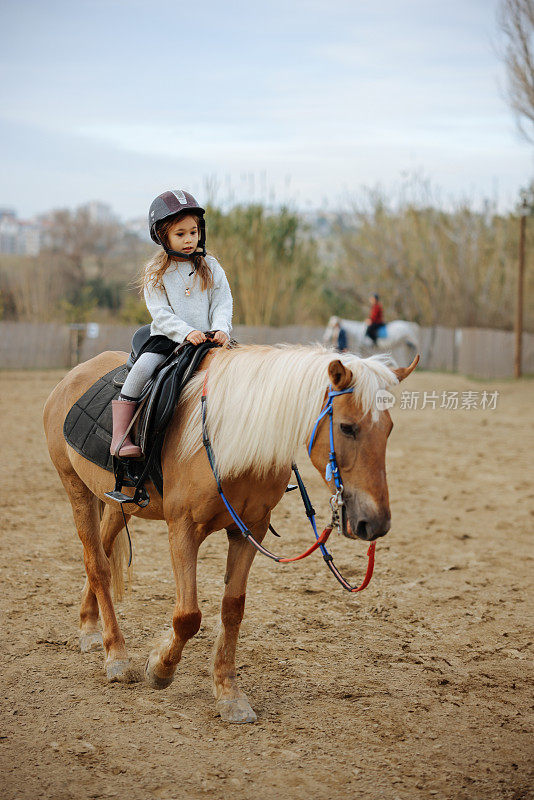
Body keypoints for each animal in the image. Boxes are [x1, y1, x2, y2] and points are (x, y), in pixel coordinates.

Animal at [43, 344, 418, 724]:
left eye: (388, 429)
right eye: (346, 427)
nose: (375, 523)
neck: (230, 439)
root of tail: (73, 376)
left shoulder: (249, 530)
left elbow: (233, 608)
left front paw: (229, 694)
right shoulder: (183, 529)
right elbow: (188, 616)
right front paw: (160, 669)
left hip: (118, 504)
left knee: (101, 558)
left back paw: (90, 628)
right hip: (76, 488)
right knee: (97, 564)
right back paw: (116, 656)